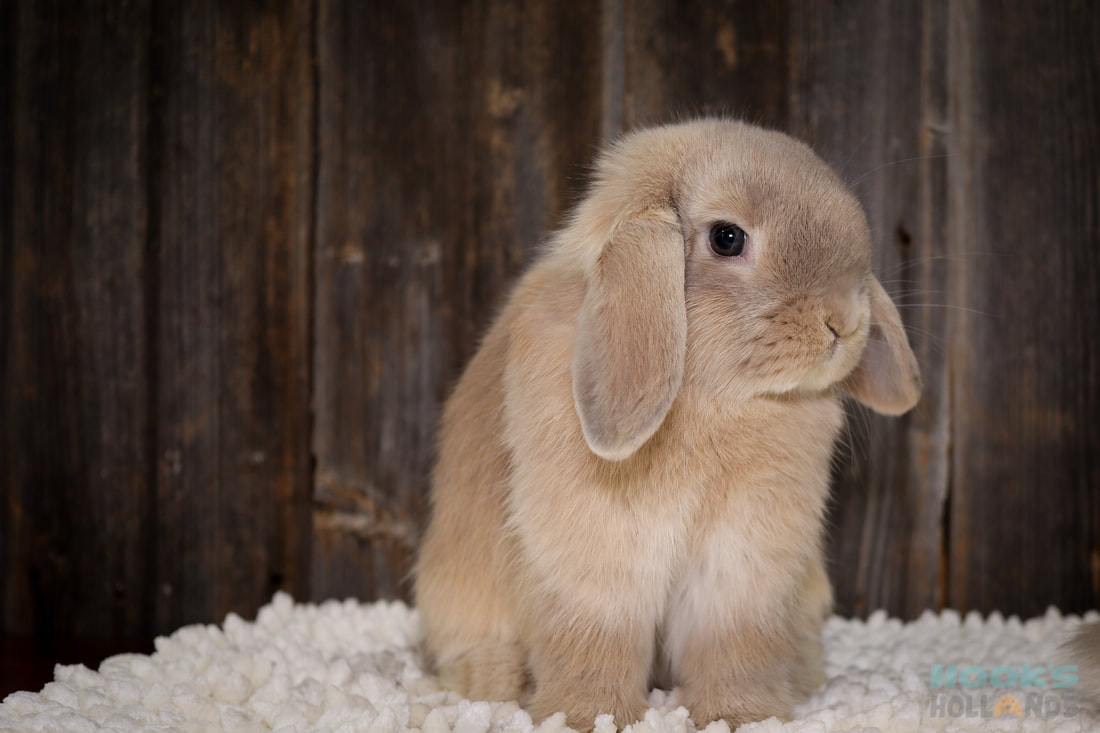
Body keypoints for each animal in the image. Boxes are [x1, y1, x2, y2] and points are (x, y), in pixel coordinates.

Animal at [413, 117, 919, 726]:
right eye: (727, 238)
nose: (843, 322)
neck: (714, 398)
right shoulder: (594, 565)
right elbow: (595, 641)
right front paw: (591, 718)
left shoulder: (745, 566)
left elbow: (733, 644)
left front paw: (743, 716)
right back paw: (491, 680)